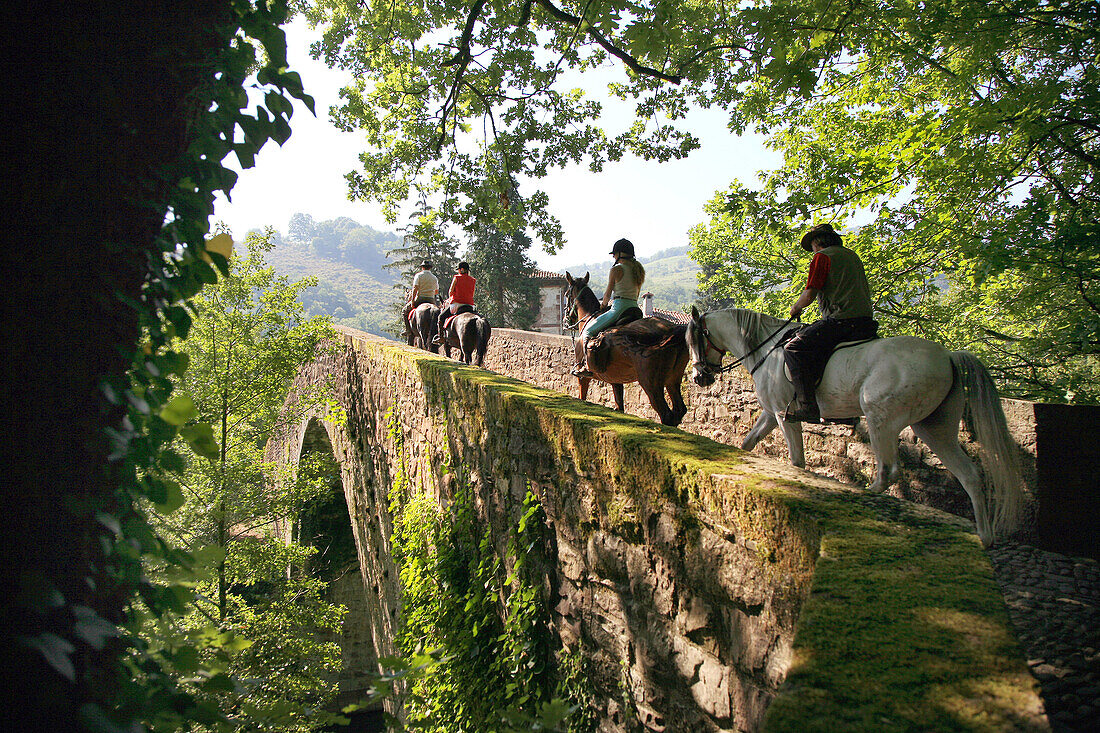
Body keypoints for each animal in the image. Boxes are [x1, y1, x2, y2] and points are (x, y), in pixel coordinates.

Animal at [567, 270, 686, 424]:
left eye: (567, 295)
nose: (567, 319)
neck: (590, 318)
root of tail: (671, 329)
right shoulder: (615, 380)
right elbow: (619, 405)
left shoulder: (583, 378)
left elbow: (582, 396)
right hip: (673, 380)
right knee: (679, 410)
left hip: (650, 384)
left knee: (666, 415)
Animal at [686, 305, 1020, 545]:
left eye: (694, 339)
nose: (699, 377)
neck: (765, 350)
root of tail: (948, 356)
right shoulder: (771, 413)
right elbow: (748, 443)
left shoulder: (783, 414)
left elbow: (797, 461)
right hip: (934, 428)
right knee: (969, 475)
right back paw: (985, 537)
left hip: (881, 418)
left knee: (888, 471)